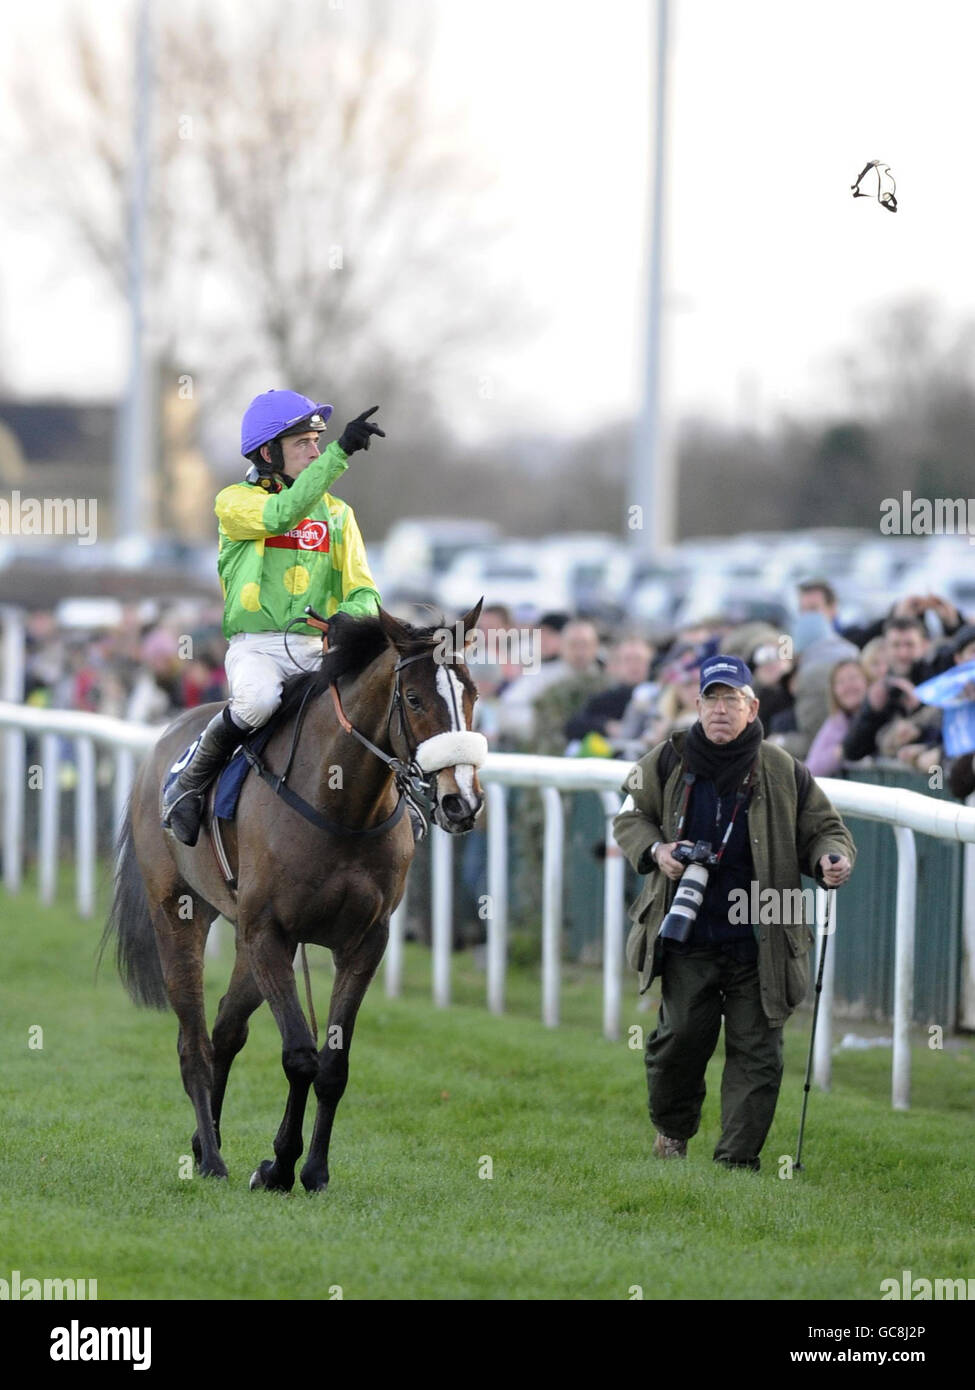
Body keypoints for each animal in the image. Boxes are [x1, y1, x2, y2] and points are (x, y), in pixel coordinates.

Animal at [100, 603, 484, 1189]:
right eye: (416, 698)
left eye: (472, 693)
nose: (461, 801)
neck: (341, 806)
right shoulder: (270, 933)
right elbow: (300, 1056)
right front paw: (279, 1165)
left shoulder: (364, 941)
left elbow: (333, 1066)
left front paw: (313, 1168)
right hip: (178, 912)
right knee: (193, 1043)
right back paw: (210, 1159)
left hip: (242, 941)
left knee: (225, 1031)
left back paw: (206, 1139)